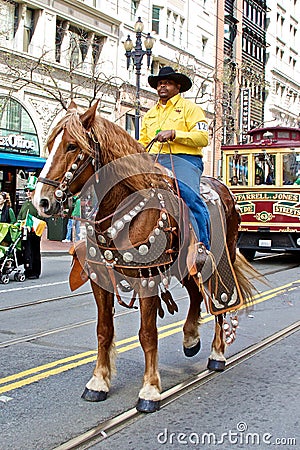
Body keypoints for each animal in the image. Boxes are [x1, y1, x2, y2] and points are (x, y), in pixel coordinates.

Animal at [34, 100, 255, 414]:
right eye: (51, 143)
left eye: (72, 146)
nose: (40, 201)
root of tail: (225, 190)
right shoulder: (100, 281)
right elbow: (104, 330)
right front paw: (98, 382)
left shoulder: (148, 279)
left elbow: (148, 334)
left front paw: (150, 390)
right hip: (186, 267)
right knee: (196, 295)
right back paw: (190, 337)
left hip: (220, 261)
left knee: (220, 303)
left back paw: (217, 354)